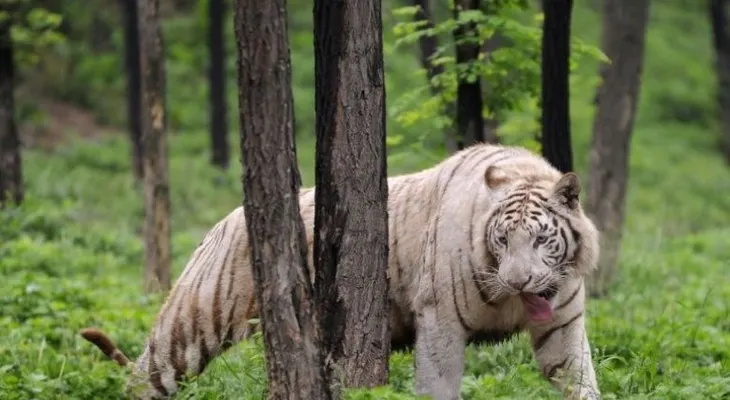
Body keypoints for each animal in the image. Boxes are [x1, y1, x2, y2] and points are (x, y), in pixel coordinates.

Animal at [80, 143, 601, 400]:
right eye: (502, 240)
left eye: (540, 240)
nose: (517, 281)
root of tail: (223, 220)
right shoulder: (440, 322)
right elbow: (438, 385)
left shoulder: (563, 325)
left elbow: (580, 380)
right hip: (194, 320)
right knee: (145, 375)